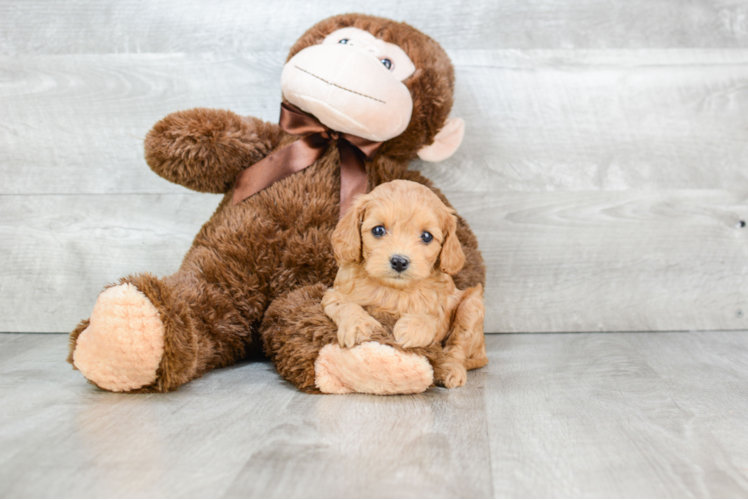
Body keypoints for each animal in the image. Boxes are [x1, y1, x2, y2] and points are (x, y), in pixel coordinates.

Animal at [322, 178, 490, 388]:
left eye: (426, 236)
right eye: (378, 230)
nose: (399, 261)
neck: (393, 290)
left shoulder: (441, 305)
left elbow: (432, 318)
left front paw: (413, 328)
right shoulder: (333, 293)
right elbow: (344, 305)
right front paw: (359, 326)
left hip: (472, 305)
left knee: (457, 347)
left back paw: (450, 369)